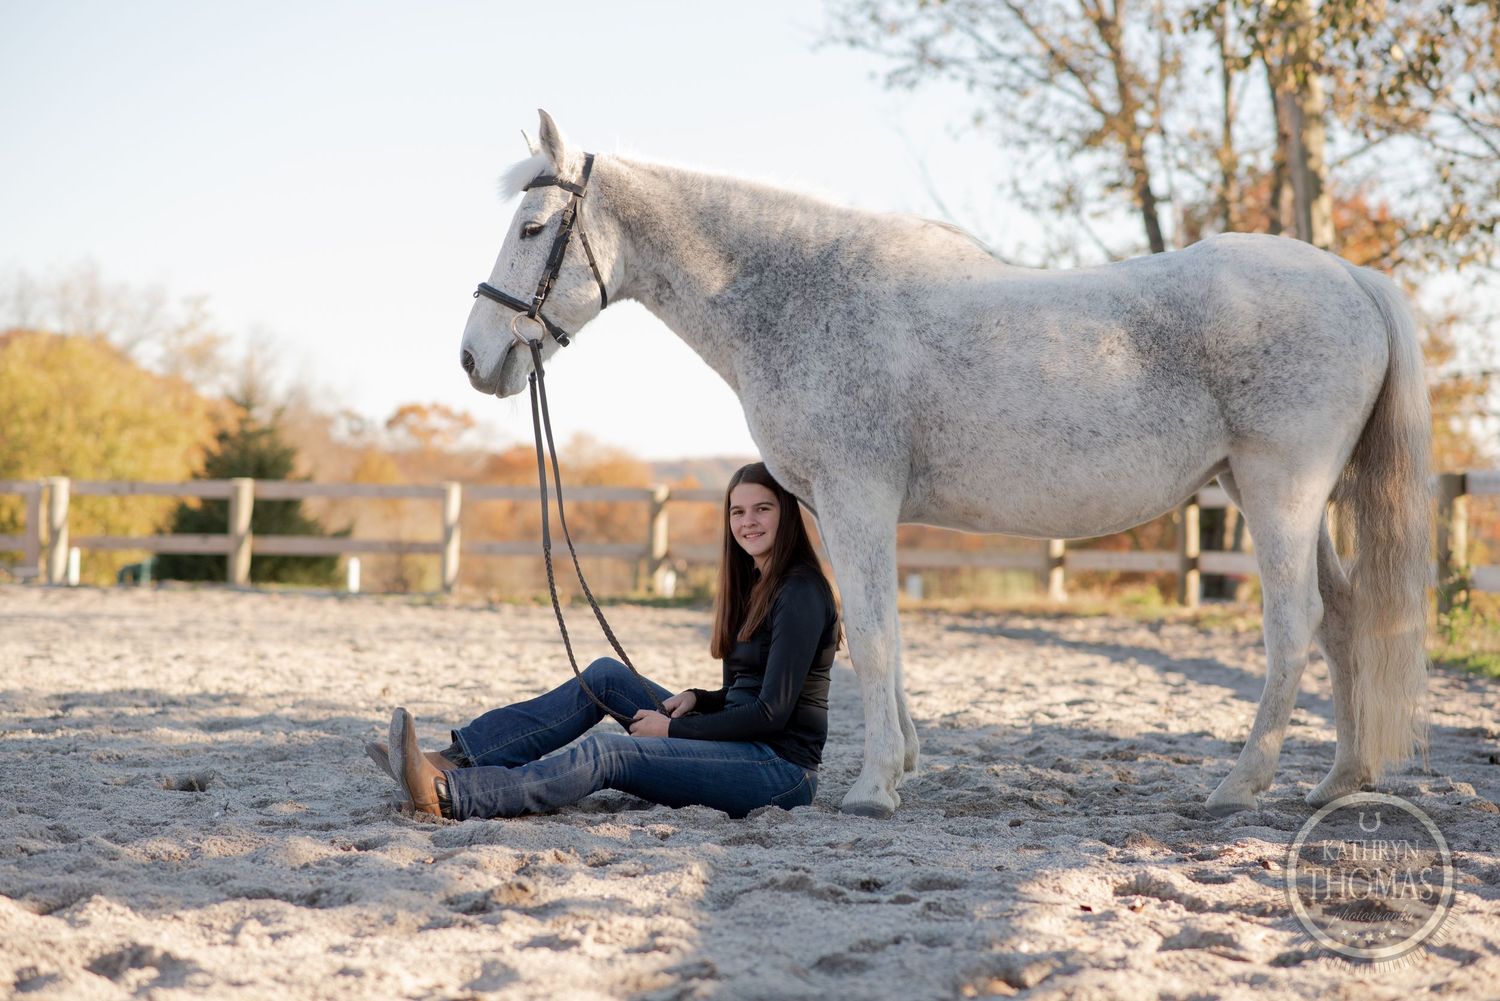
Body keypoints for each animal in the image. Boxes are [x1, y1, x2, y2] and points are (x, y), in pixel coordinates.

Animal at [459, 110, 1432, 819]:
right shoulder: (855, 510)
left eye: (534, 226)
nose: (476, 357)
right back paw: (1338, 780)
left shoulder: (856, 497)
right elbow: (882, 631)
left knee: (1295, 625)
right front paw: (905, 763)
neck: (805, 296)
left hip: (1279, 491)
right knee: (1346, 619)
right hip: (1289, 500)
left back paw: (1238, 786)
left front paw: (871, 788)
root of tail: (1350, 278)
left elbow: (872, 636)